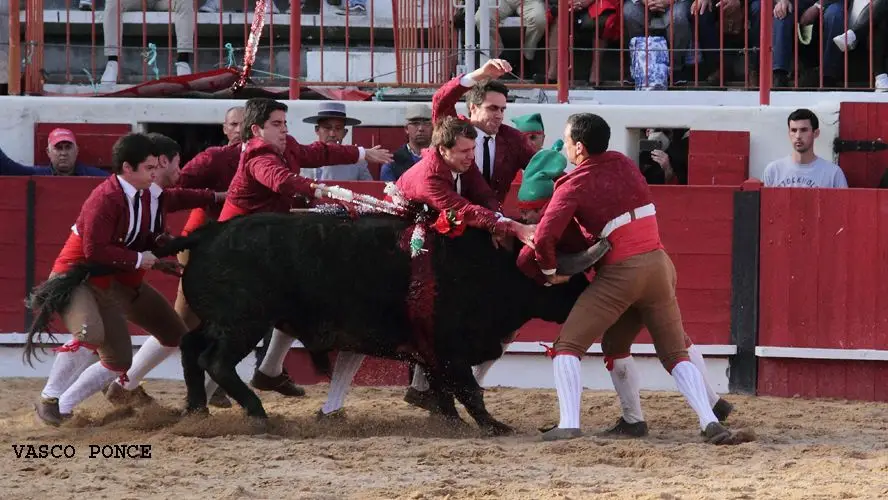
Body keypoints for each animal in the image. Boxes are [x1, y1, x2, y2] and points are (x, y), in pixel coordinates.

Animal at [156, 211, 592, 434]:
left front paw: (451, 423)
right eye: (573, 279)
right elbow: (468, 390)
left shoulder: (434, 352)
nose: (590, 293)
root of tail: (206, 234)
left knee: (190, 347)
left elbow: (445, 391)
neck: (495, 266)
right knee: (215, 361)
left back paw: (196, 411)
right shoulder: (450, 349)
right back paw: (257, 412)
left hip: (222, 321)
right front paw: (494, 425)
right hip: (244, 322)